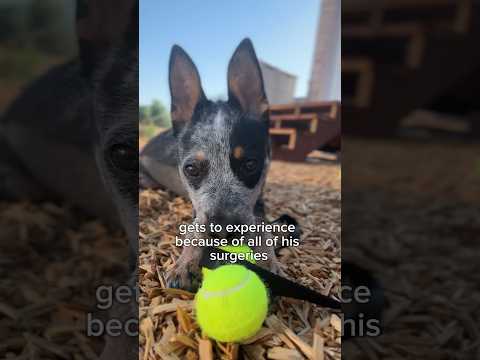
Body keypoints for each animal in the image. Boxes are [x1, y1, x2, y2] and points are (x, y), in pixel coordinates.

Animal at [141, 38, 286, 290]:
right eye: (191, 169)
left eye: (250, 164)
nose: (224, 230)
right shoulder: (197, 211)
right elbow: (195, 229)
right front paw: (185, 264)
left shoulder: (258, 201)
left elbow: (261, 227)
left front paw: (268, 261)